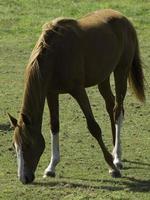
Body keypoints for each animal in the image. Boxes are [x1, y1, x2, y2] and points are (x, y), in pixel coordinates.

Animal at [7, 9, 144, 184]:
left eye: (27, 145)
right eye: (14, 145)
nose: (23, 178)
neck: (55, 55)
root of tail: (124, 18)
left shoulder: (78, 91)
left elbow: (93, 127)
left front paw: (112, 168)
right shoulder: (51, 93)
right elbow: (54, 126)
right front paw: (51, 167)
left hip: (121, 70)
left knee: (118, 110)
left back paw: (117, 158)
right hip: (103, 78)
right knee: (111, 106)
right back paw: (115, 152)